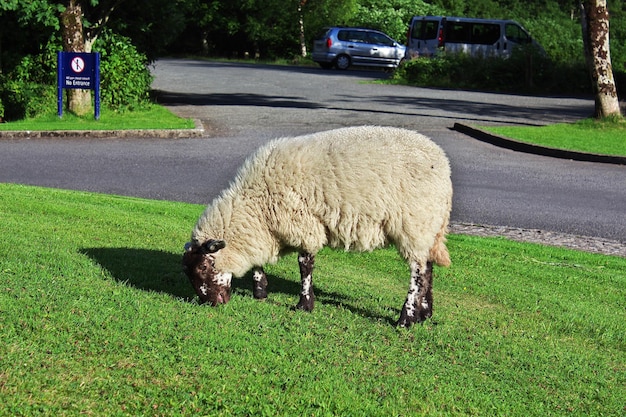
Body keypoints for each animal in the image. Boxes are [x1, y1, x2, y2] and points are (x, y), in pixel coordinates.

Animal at [180, 125, 448, 326]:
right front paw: (260, 292)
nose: (211, 304)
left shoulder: (303, 224)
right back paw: (425, 313)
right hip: (429, 227)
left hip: (414, 223)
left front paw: (304, 305)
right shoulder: (267, 230)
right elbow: (258, 263)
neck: (256, 203)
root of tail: (443, 164)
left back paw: (406, 318)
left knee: (418, 272)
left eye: (203, 267)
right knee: (428, 267)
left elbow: (304, 265)